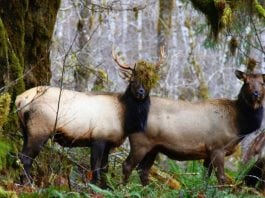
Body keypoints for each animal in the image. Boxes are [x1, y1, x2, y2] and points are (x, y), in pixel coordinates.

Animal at [15, 47, 164, 187]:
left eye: (150, 81)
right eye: (133, 80)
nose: (141, 92)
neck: (124, 120)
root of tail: (20, 99)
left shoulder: (109, 143)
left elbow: (105, 169)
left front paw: (105, 187)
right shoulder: (98, 138)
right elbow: (95, 168)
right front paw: (93, 186)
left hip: (25, 129)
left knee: (21, 156)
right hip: (40, 128)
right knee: (26, 158)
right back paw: (29, 183)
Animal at [122, 70, 264, 186]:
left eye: (262, 83)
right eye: (246, 82)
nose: (255, 94)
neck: (239, 128)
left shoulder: (208, 152)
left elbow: (205, 178)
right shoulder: (217, 147)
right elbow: (221, 179)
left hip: (154, 147)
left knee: (143, 170)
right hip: (141, 142)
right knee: (127, 165)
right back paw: (123, 188)